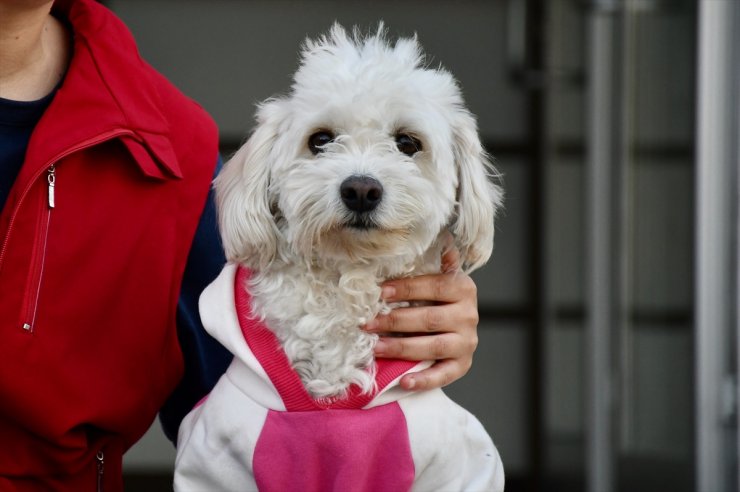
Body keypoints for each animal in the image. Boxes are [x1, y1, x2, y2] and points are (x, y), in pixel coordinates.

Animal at [176, 24, 506, 492]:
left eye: (408, 143)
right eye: (320, 140)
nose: (361, 189)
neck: (346, 283)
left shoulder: (450, 465)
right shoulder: (215, 460)